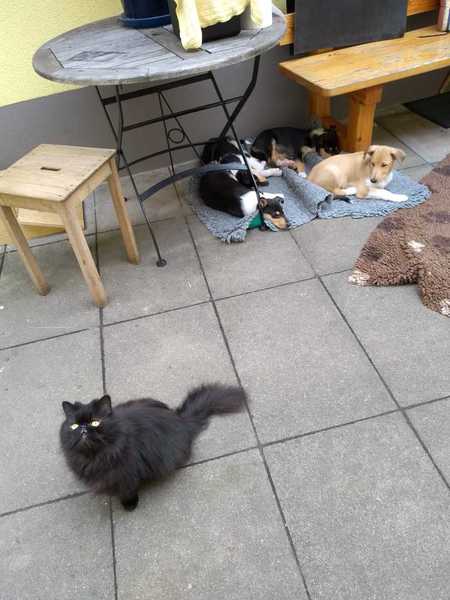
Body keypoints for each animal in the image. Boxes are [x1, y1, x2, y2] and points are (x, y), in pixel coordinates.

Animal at [60, 384, 247, 511]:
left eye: (95, 422)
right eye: (74, 426)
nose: (83, 429)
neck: (96, 456)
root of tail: (181, 420)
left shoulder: (127, 474)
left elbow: (128, 489)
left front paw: (130, 505)